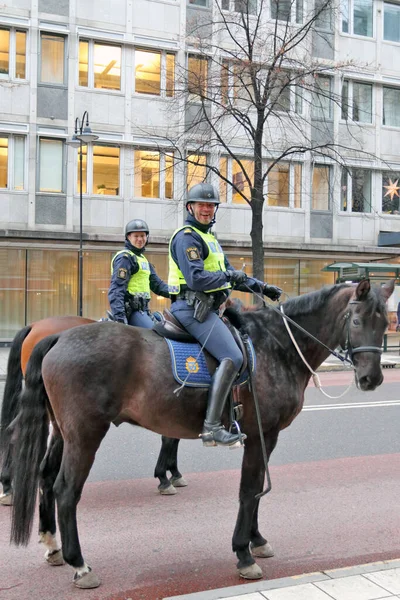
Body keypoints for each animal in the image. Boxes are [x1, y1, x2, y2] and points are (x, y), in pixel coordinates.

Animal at [0, 316, 186, 504]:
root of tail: (34, 325)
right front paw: (165, 477)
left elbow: (172, 438)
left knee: (13, 430)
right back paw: (8, 486)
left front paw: (173, 473)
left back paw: (8, 485)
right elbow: (170, 438)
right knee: (15, 431)